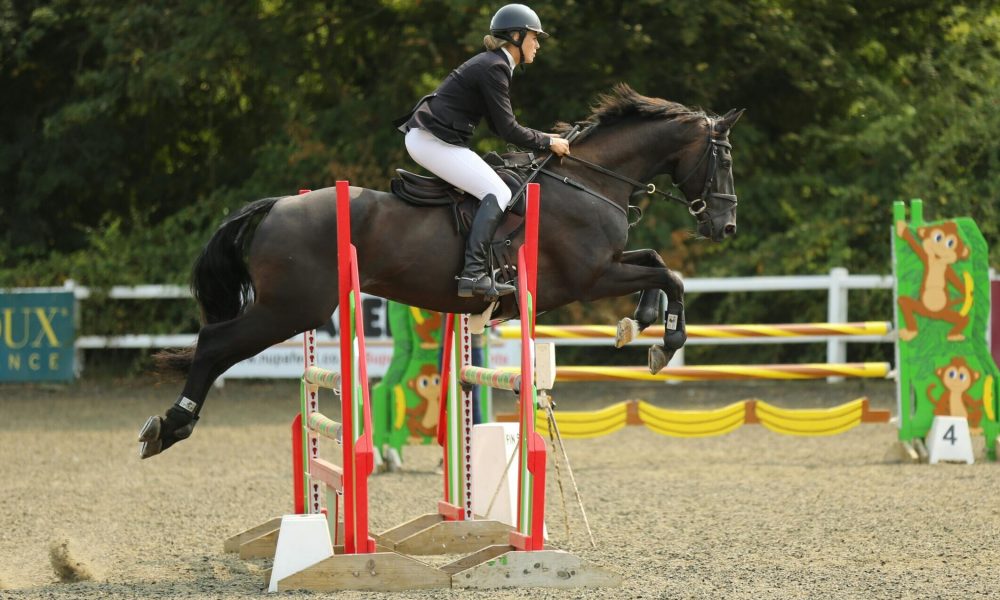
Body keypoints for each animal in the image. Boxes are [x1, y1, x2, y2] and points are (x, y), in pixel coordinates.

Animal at [138, 84, 744, 459]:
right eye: (724, 158)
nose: (726, 225)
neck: (591, 180)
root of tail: (277, 207)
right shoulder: (589, 277)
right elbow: (668, 276)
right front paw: (665, 341)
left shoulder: (606, 267)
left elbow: (658, 265)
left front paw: (638, 324)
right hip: (290, 309)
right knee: (215, 344)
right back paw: (169, 426)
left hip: (288, 308)